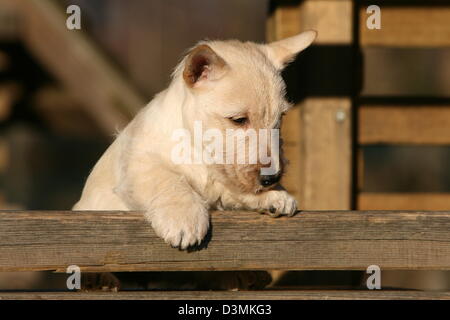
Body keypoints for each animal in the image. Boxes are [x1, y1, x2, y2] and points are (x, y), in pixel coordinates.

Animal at [74, 30, 316, 250]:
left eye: (280, 117)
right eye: (238, 120)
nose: (271, 178)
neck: (197, 148)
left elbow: (230, 186)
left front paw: (275, 195)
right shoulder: (137, 165)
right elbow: (169, 180)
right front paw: (183, 217)